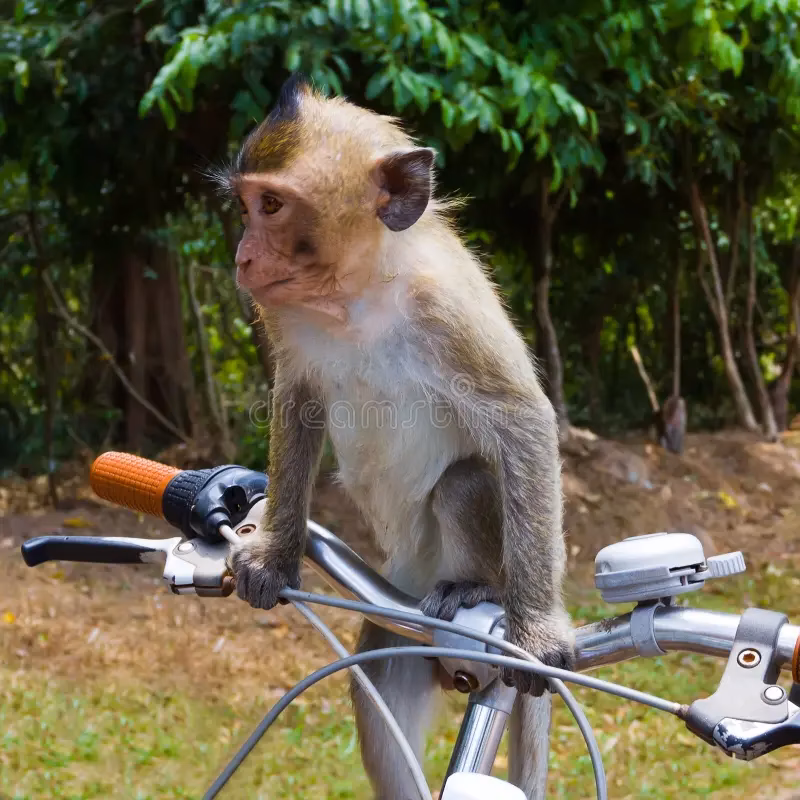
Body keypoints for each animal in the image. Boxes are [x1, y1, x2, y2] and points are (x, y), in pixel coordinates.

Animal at [215, 73, 574, 800]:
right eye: (245, 204)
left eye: (272, 205)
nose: (243, 254)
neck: (357, 294)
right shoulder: (286, 314)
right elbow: (297, 402)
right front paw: (276, 555)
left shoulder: (448, 308)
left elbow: (522, 419)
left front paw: (536, 631)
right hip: (397, 620)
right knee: (381, 702)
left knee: (467, 481)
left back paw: (479, 591)